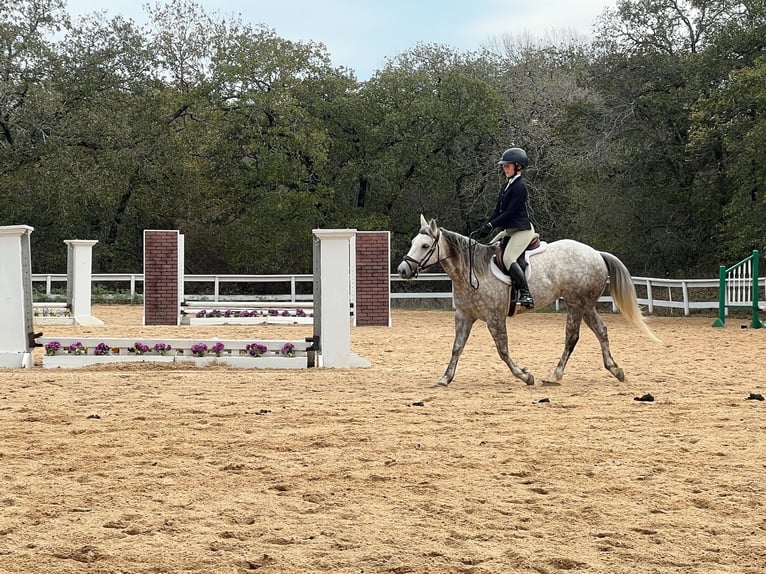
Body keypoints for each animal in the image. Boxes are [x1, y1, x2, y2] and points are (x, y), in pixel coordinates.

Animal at [400, 215, 664, 388]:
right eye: (413, 243)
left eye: (425, 245)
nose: (403, 270)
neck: (471, 270)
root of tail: (596, 253)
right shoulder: (464, 315)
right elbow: (457, 347)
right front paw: (445, 378)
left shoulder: (494, 317)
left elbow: (503, 351)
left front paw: (525, 376)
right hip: (586, 305)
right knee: (601, 331)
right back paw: (615, 369)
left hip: (576, 304)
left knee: (572, 337)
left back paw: (555, 375)